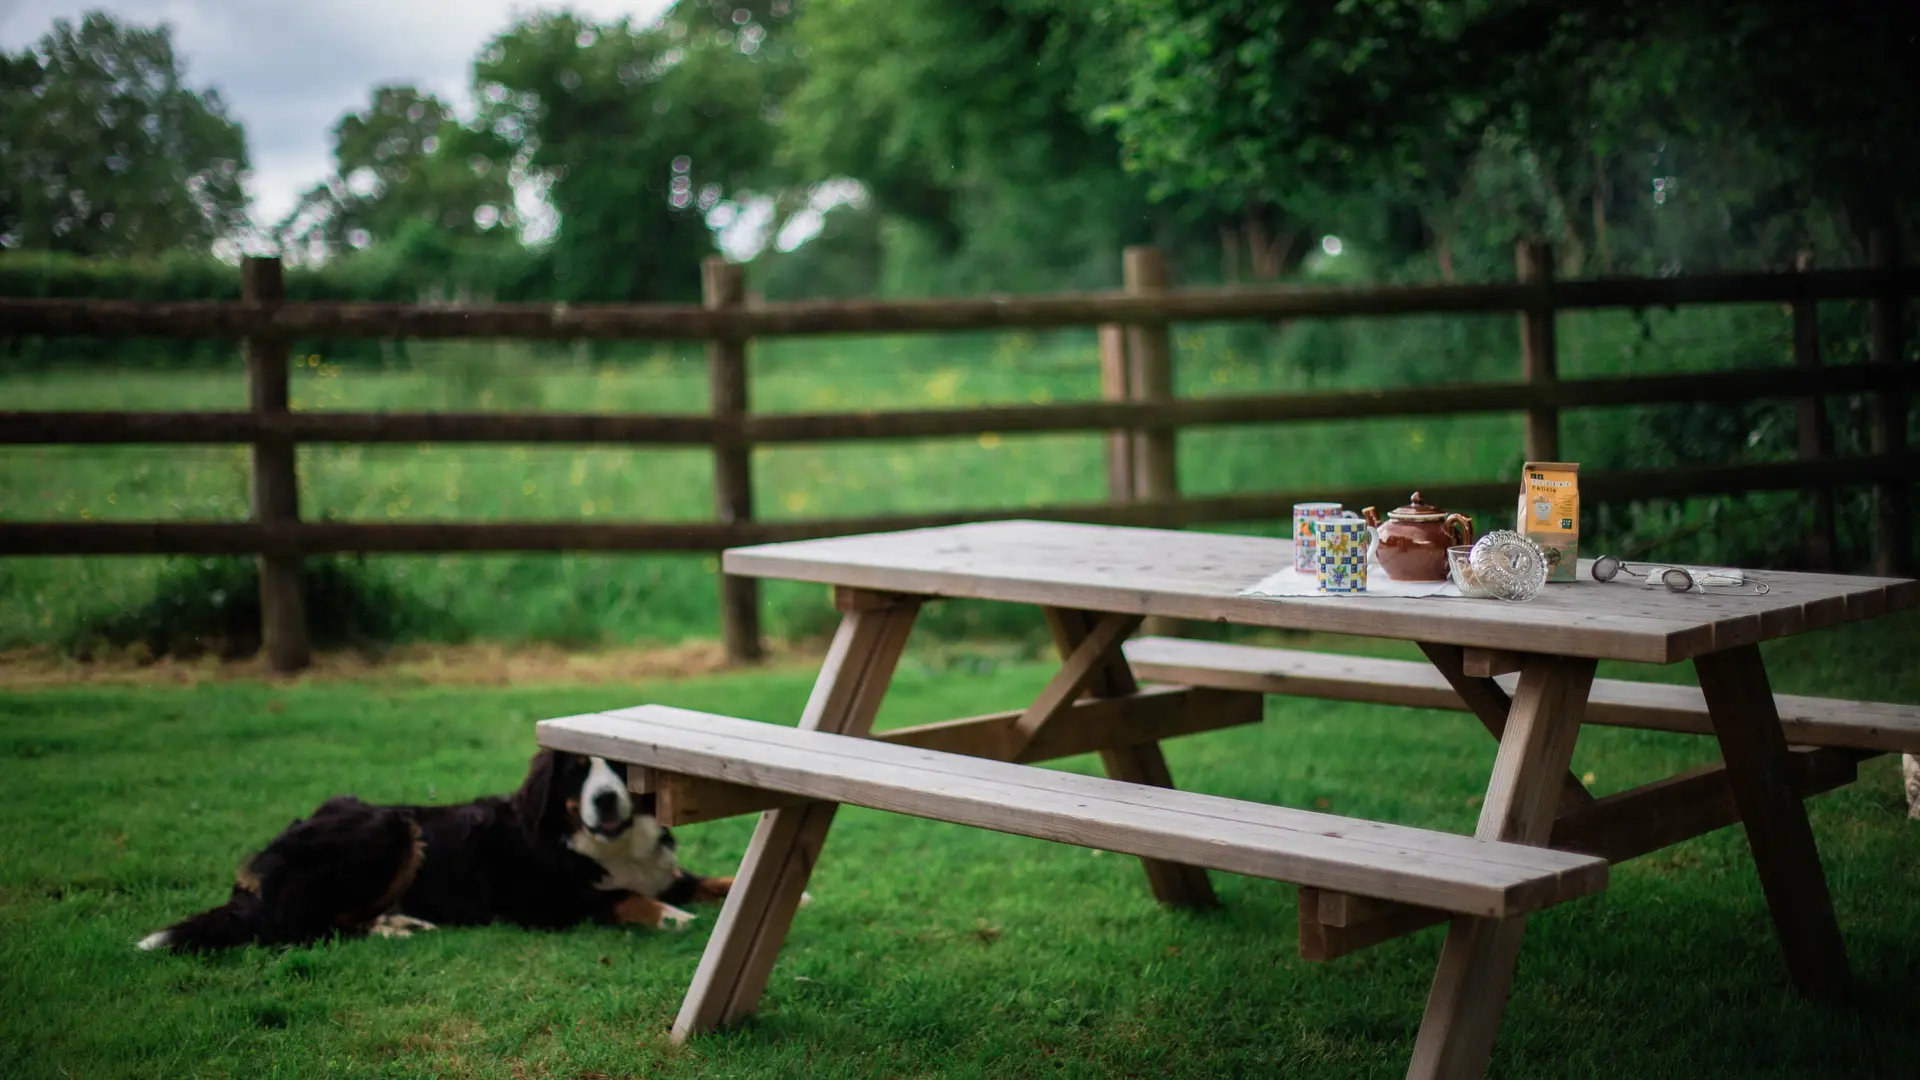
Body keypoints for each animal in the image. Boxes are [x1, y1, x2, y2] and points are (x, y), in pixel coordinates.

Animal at [135, 749, 733, 949]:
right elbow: (620, 898)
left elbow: (714, 881)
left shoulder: (664, 870)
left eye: (622, 771)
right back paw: (395, 929)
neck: (610, 842)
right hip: (390, 828)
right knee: (301, 928)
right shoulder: (545, 904)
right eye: (576, 771)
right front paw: (672, 916)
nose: (606, 800)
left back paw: (402, 922)